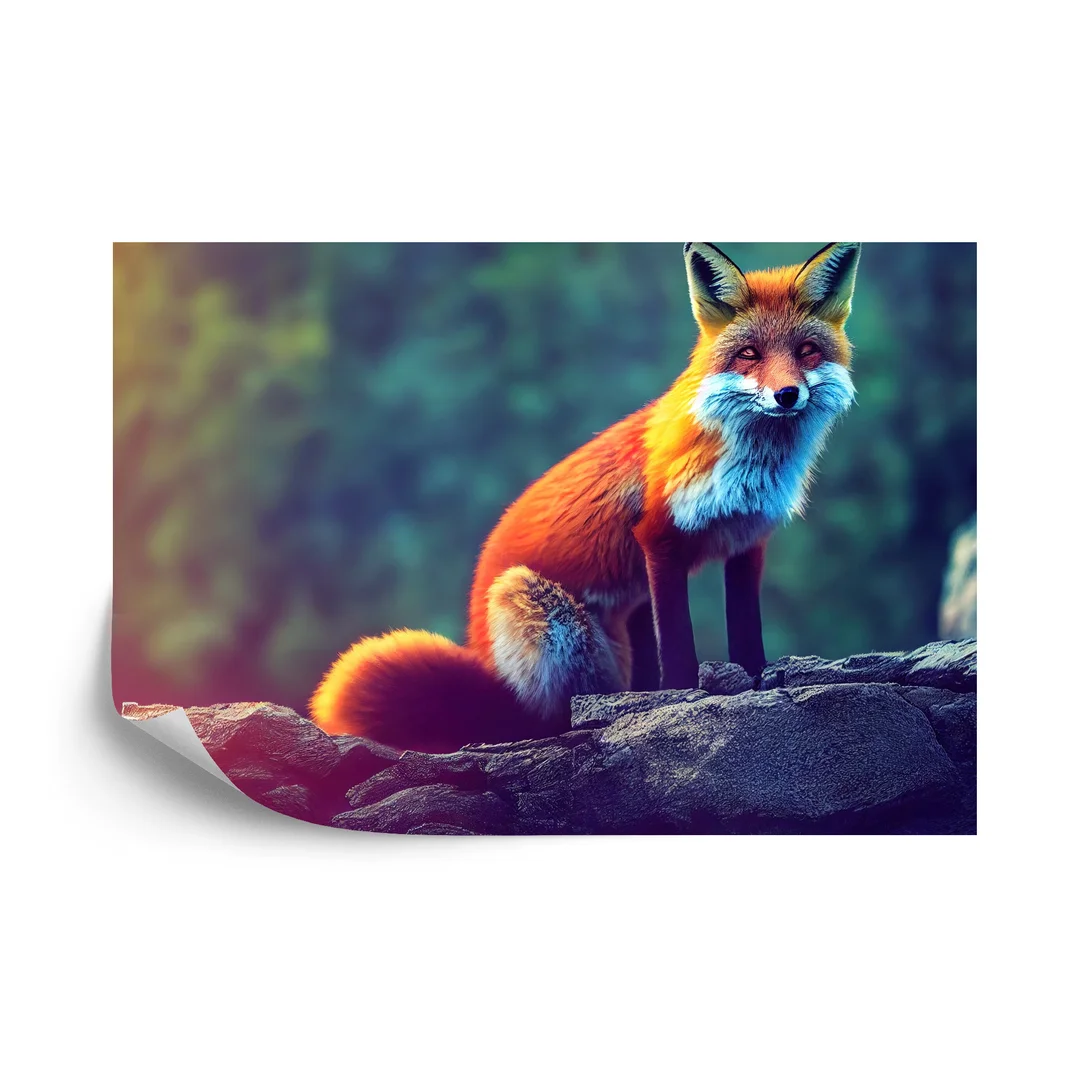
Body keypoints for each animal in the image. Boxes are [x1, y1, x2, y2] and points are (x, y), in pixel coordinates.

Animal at [310, 242, 860, 752]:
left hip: (625, 614)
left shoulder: (748, 538)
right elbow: (678, 643)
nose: (787, 395)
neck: (749, 465)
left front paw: (757, 682)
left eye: (806, 350)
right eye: (749, 354)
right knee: (543, 716)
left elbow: (746, 631)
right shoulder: (658, 538)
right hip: (534, 602)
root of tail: (484, 659)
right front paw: (684, 699)